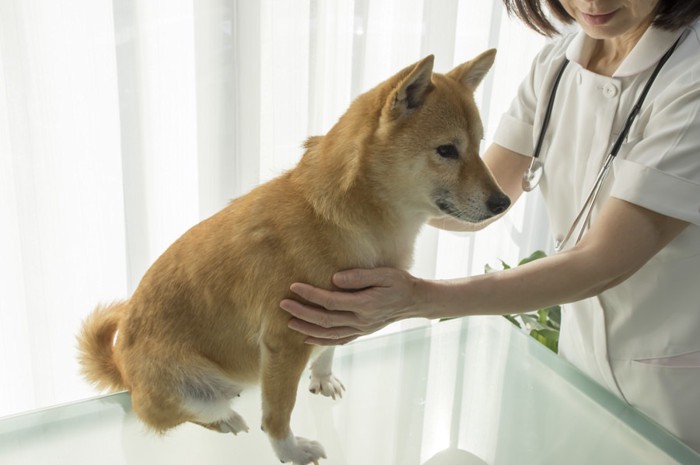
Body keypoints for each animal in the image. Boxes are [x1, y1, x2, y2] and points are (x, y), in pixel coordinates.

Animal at [78, 49, 508, 462]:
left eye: (479, 146)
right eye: (447, 150)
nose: (503, 202)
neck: (349, 219)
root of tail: (123, 370)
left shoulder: (336, 315)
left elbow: (328, 349)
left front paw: (322, 377)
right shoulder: (284, 343)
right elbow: (278, 413)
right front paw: (291, 451)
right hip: (187, 385)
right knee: (190, 413)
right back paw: (226, 418)